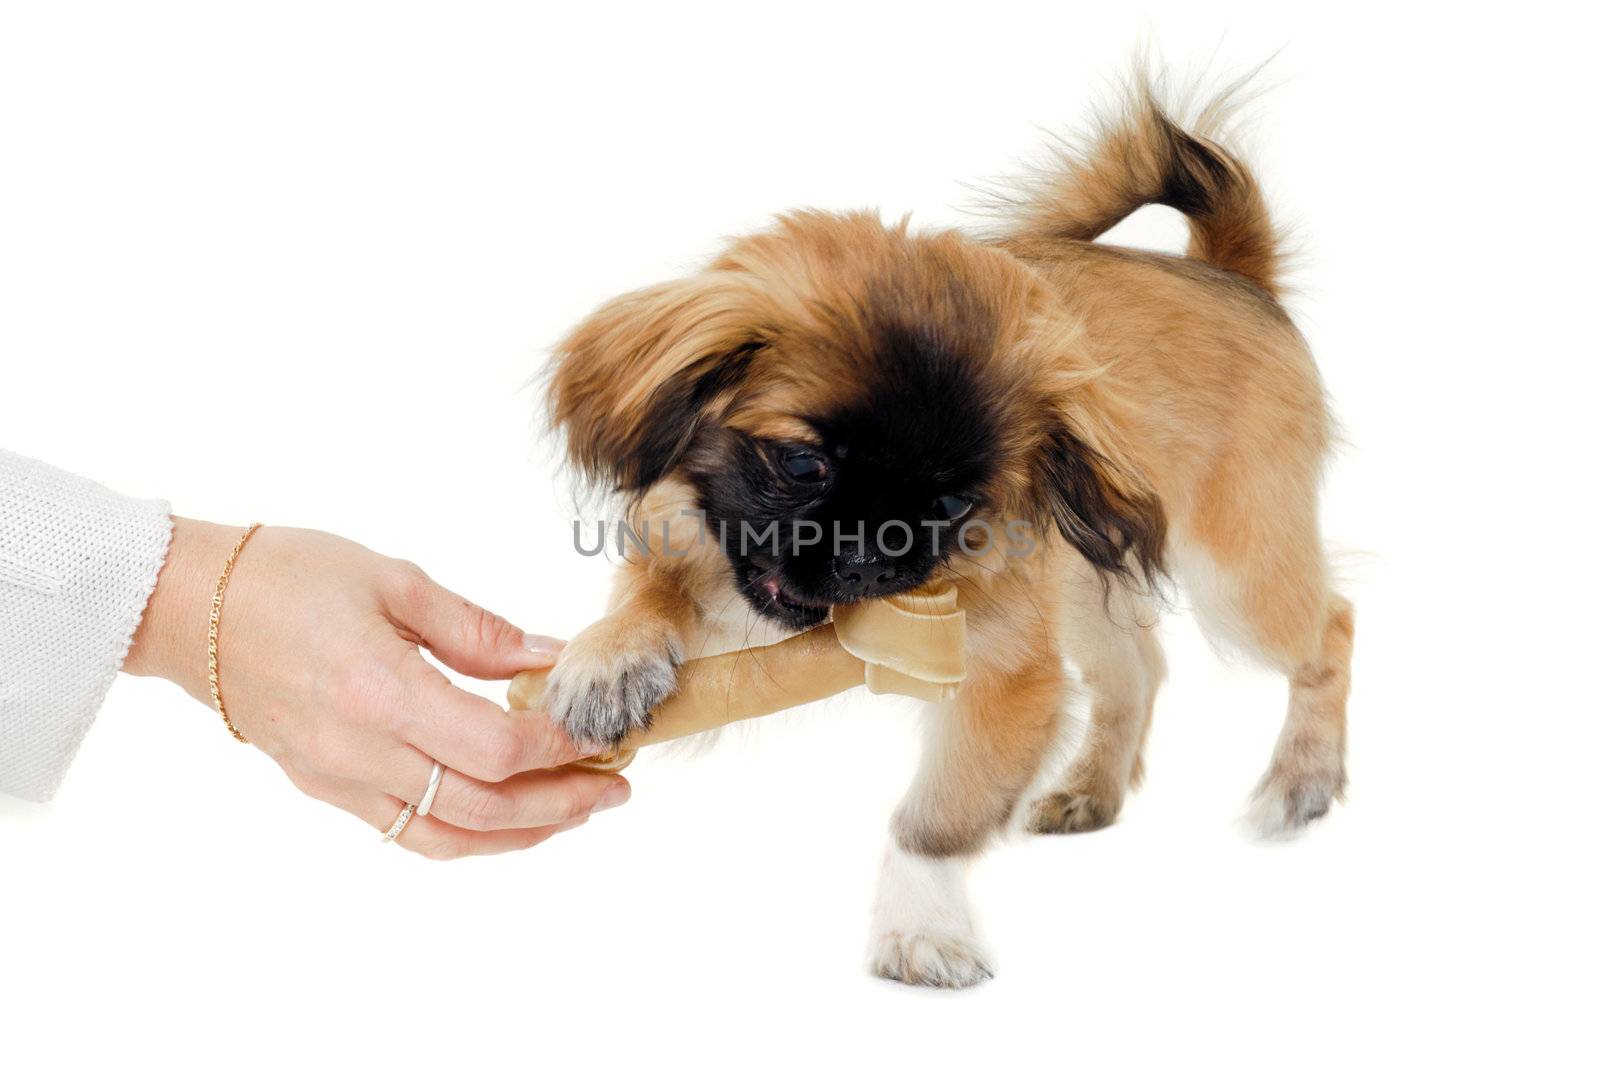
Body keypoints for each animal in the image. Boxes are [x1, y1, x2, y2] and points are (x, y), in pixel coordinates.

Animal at [537, 77, 1350, 991]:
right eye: (803, 464)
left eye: (956, 502)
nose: (868, 556)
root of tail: (1232, 271)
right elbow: (649, 598)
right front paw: (609, 659)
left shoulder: (1004, 675)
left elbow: (934, 820)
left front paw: (920, 928)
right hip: (1085, 580)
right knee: (1137, 668)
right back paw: (1092, 791)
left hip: (1236, 574)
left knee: (1332, 628)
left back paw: (1301, 781)